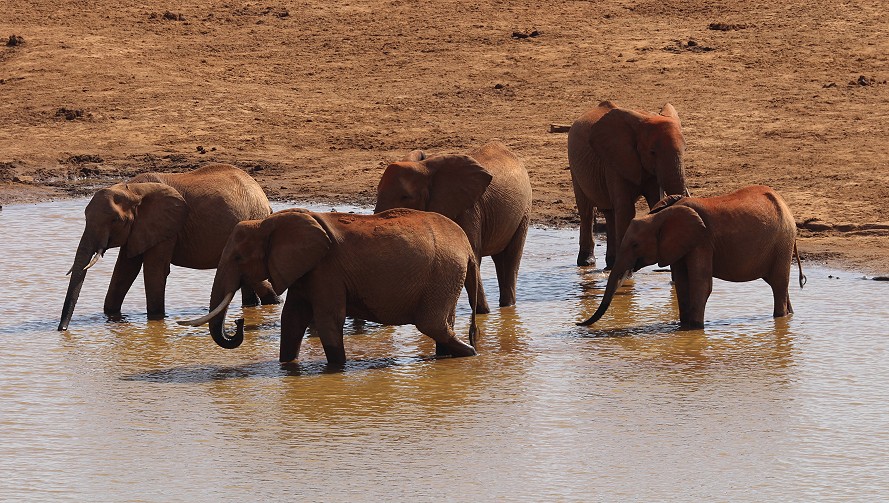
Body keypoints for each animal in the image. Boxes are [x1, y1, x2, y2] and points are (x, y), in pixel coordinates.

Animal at [57, 163, 278, 332]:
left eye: (115, 220)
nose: (62, 330)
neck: (133, 189)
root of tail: (263, 196)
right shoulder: (139, 229)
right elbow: (125, 270)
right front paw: (112, 317)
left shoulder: (166, 228)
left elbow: (154, 269)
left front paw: (155, 320)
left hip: (254, 218)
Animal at [179, 209, 478, 366]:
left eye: (239, 258)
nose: (239, 322)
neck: (268, 222)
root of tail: (467, 246)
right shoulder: (305, 269)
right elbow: (292, 319)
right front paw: (287, 367)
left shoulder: (327, 269)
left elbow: (327, 318)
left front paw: (336, 369)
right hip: (446, 276)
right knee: (442, 325)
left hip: (443, 271)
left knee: (431, 324)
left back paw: (472, 355)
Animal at [372, 142, 532, 314]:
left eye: (405, 197)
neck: (425, 168)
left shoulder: (469, 209)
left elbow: (472, 255)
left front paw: (483, 314)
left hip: (524, 210)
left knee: (511, 256)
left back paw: (507, 307)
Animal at [564, 100, 692, 270]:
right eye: (652, 152)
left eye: (685, 149)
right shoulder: (614, 160)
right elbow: (626, 209)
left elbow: (656, 202)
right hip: (574, 165)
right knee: (586, 211)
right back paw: (587, 262)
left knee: (609, 212)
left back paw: (610, 263)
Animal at [580, 186, 808, 330]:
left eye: (635, 245)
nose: (578, 324)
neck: (659, 216)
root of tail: (786, 206)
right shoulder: (679, 245)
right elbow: (682, 282)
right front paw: (684, 326)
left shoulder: (702, 241)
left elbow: (701, 283)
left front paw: (694, 329)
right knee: (778, 285)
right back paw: (789, 315)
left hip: (782, 242)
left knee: (778, 283)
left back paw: (779, 318)